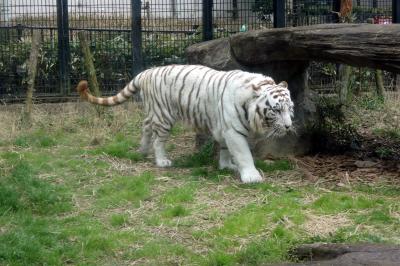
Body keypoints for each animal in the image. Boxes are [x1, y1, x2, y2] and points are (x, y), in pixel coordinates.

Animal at [76, 64, 294, 183]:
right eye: (276, 110)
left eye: (290, 108)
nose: (288, 126)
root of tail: (145, 73)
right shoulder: (234, 130)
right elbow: (243, 154)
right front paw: (251, 176)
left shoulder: (225, 129)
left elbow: (225, 149)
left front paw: (226, 166)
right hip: (164, 116)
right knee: (158, 140)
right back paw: (161, 161)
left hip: (153, 112)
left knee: (145, 126)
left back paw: (142, 151)